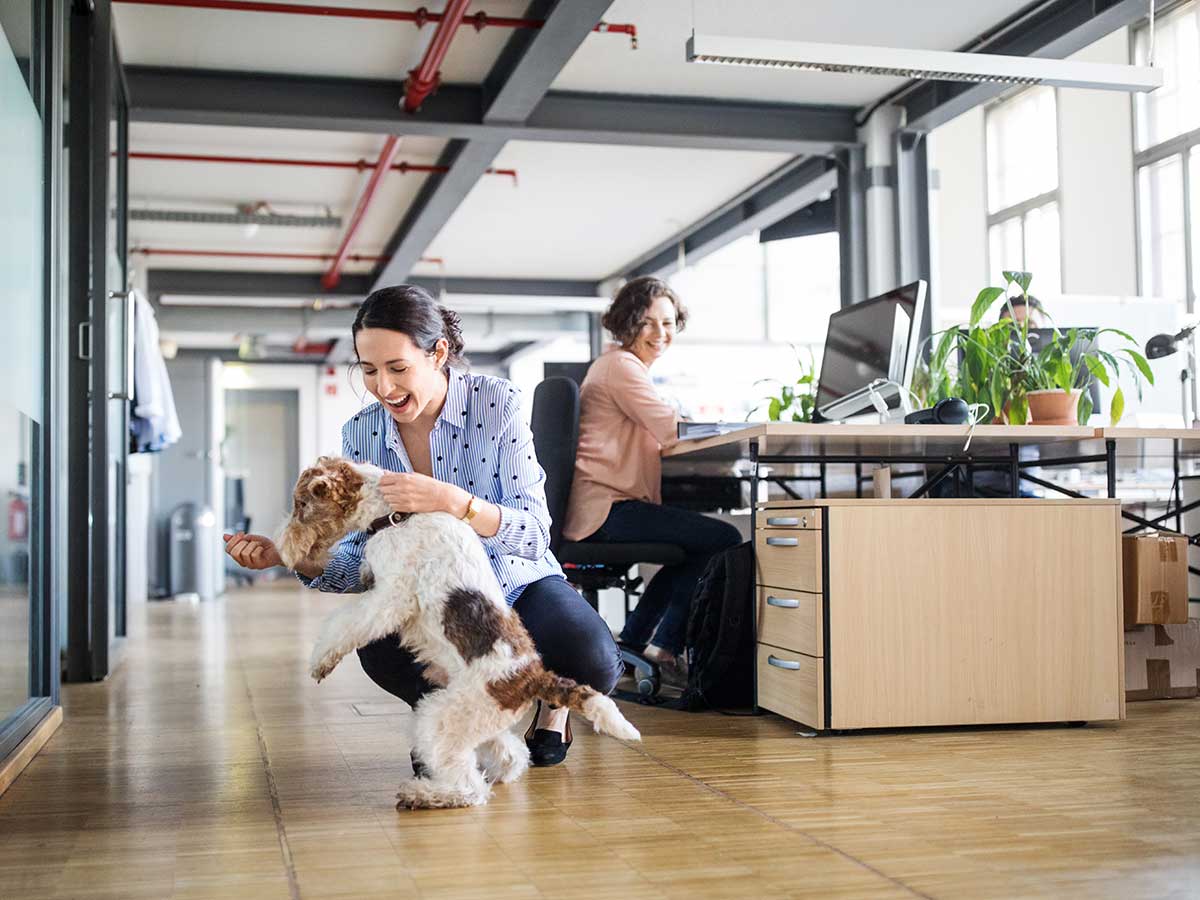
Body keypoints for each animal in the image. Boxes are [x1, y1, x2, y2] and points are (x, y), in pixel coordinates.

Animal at [277, 458, 643, 811]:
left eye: (302, 504)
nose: (282, 548)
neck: (395, 514)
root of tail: (532, 677)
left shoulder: (390, 599)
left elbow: (344, 624)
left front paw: (320, 663)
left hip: (443, 719)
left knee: (469, 788)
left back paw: (422, 794)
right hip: (468, 717)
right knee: (509, 753)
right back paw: (492, 773)